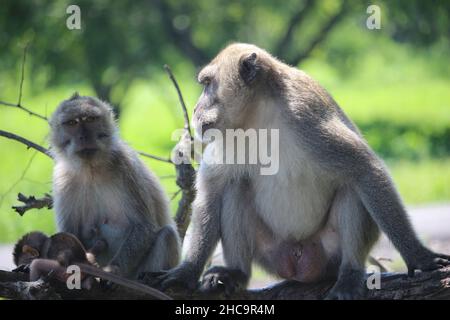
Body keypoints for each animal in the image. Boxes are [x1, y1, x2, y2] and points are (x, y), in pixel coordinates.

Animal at [50, 94, 180, 278]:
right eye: (72, 123)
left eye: (91, 119)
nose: (84, 137)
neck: (91, 169)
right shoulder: (62, 179)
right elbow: (68, 233)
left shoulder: (125, 165)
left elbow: (143, 227)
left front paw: (112, 270)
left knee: (167, 235)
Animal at [156, 42, 450, 298]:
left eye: (207, 84)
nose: (196, 108)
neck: (258, 118)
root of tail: (300, 262)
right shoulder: (224, 138)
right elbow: (212, 194)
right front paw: (187, 271)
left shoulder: (306, 118)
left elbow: (366, 170)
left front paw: (419, 256)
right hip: (272, 252)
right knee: (235, 189)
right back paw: (236, 273)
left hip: (327, 252)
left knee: (352, 188)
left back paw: (350, 275)